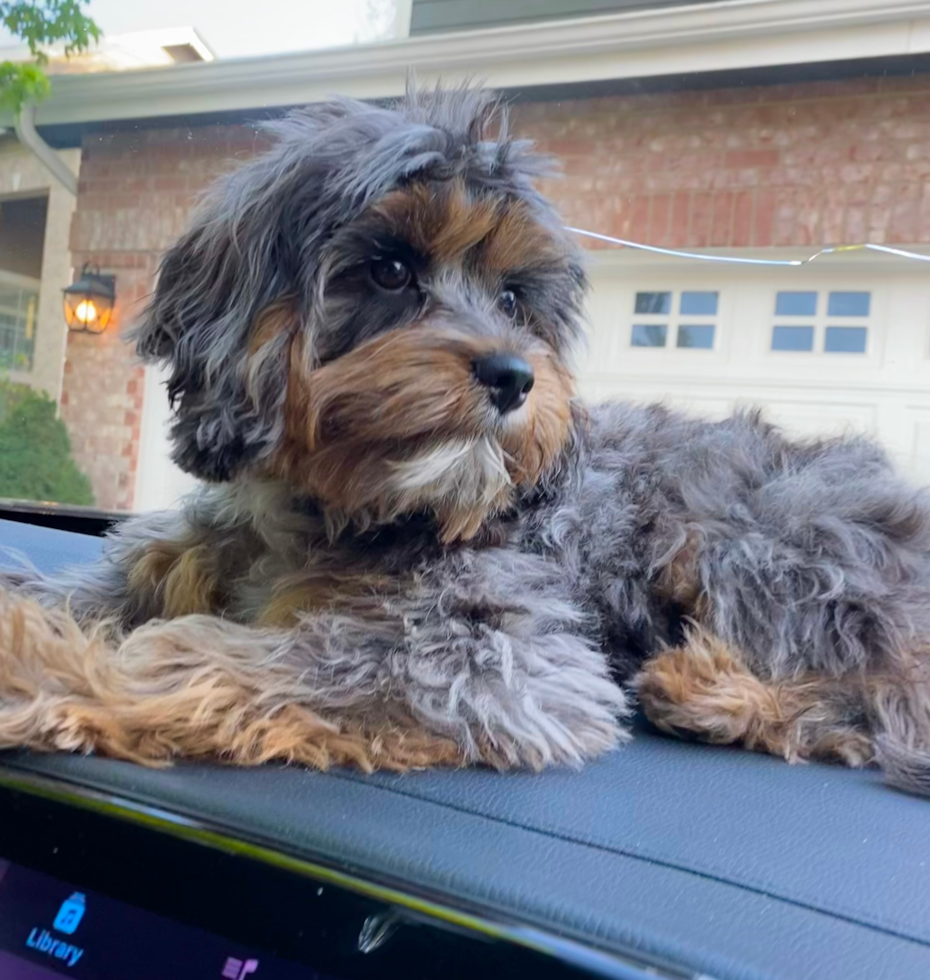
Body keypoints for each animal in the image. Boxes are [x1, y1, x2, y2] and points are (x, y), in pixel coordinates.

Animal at [1, 86, 928, 796]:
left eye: (513, 298)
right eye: (391, 270)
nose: (514, 376)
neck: (346, 510)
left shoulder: (490, 654)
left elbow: (231, 661)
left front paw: (44, 670)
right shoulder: (182, 554)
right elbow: (96, 590)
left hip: (762, 537)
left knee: (884, 701)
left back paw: (711, 687)